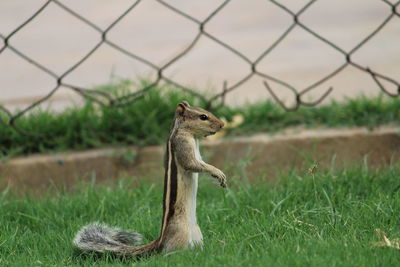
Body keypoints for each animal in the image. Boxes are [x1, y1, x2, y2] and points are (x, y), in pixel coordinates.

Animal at [73, 101, 227, 258]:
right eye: (203, 117)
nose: (222, 124)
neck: (186, 132)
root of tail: (161, 240)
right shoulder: (182, 144)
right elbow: (191, 164)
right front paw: (217, 172)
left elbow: (200, 163)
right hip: (181, 232)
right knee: (169, 254)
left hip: (197, 232)